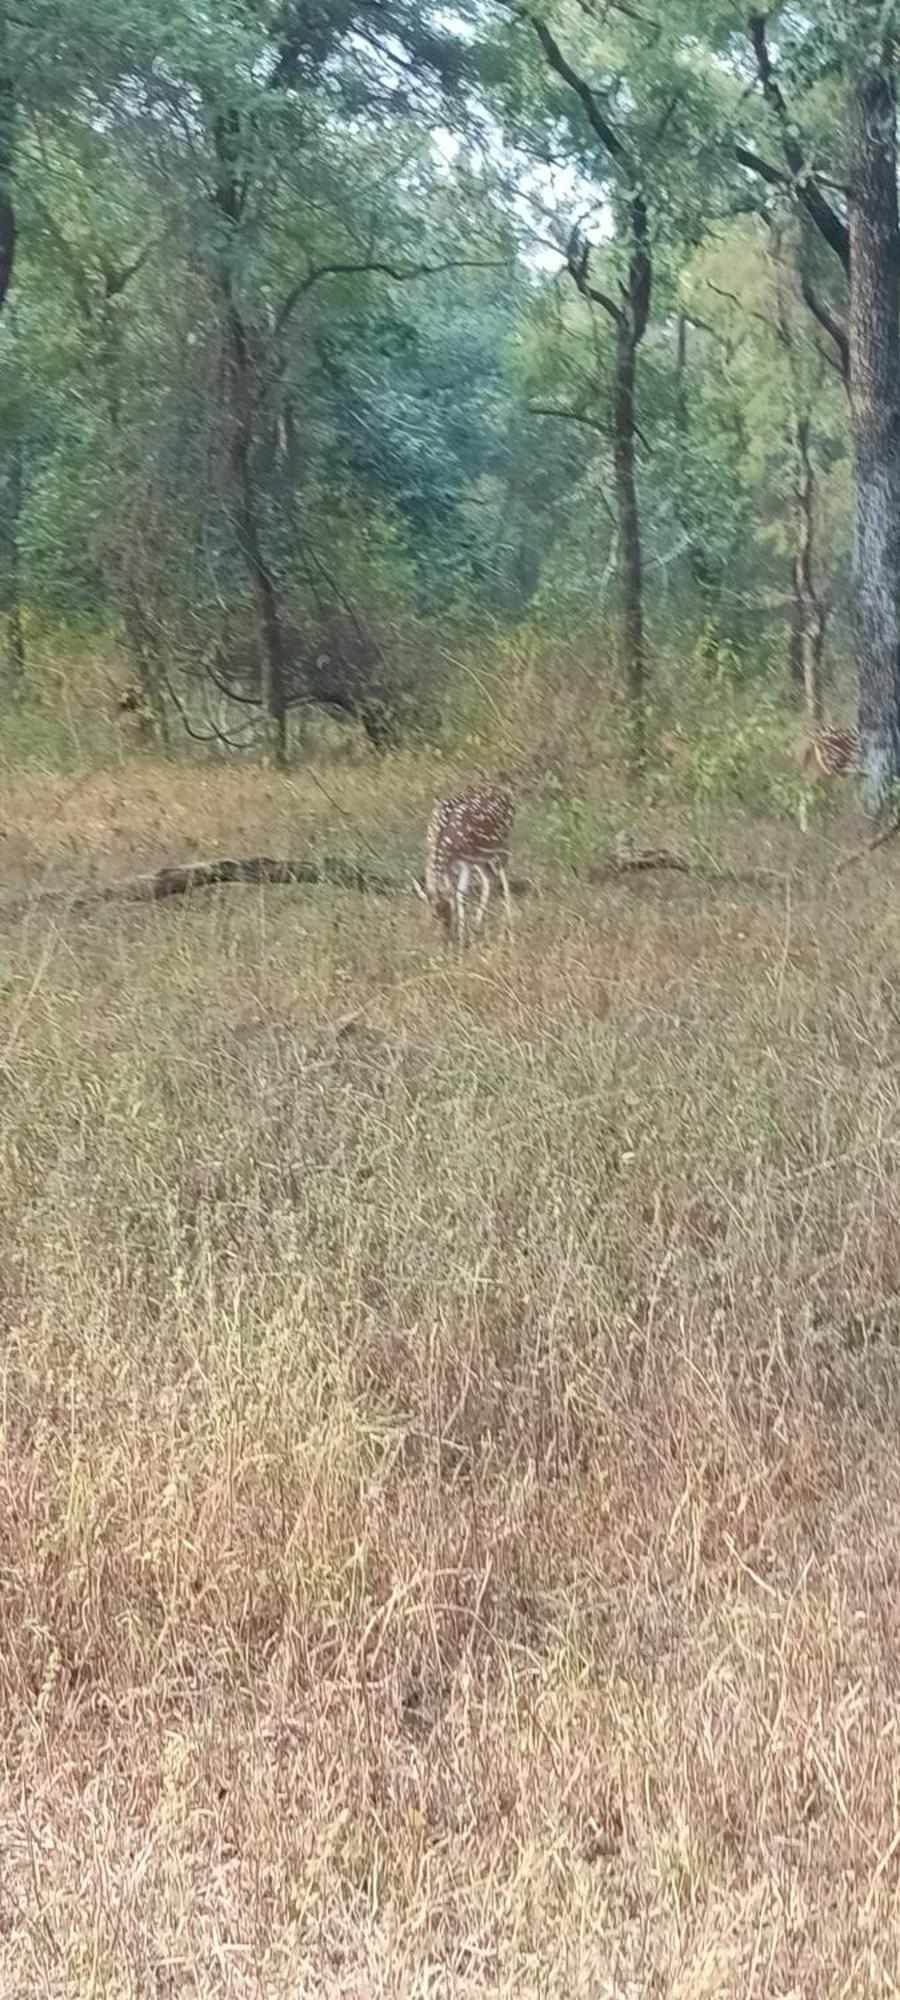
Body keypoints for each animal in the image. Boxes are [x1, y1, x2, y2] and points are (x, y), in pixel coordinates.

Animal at [414, 780, 512, 944]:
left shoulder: (465, 861)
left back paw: (510, 916)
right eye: (434, 915)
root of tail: (505, 791)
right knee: (488, 878)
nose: (445, 937)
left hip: (501, 842)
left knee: (503, 871)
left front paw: (461, 936)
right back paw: (477, 924)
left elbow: (461, 895)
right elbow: (453, 892)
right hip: (481, 857)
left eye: (447, 910)